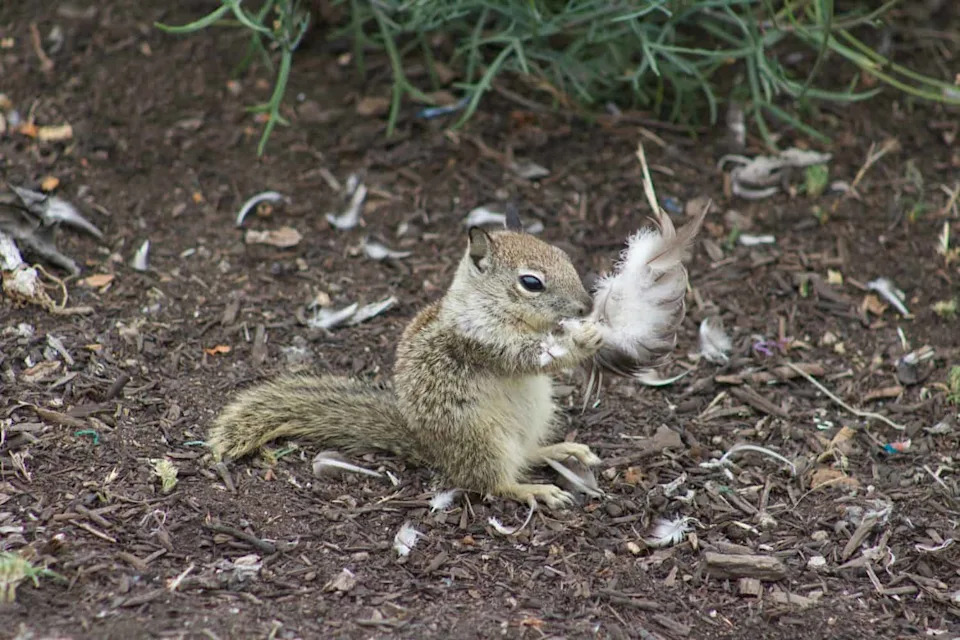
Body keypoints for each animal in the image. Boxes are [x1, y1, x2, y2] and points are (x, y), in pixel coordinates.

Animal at [208, 222, 608, 508]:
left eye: (564, 256)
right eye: (530, 282)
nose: (587, 306)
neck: (487, 306)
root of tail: (432, 448)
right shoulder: (482, 340)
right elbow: (526, 357)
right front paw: (584, 339)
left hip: (534, 417)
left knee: (527, 452)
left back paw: (562, 450)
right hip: (483, 440)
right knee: (493, 482)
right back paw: (533, 490)